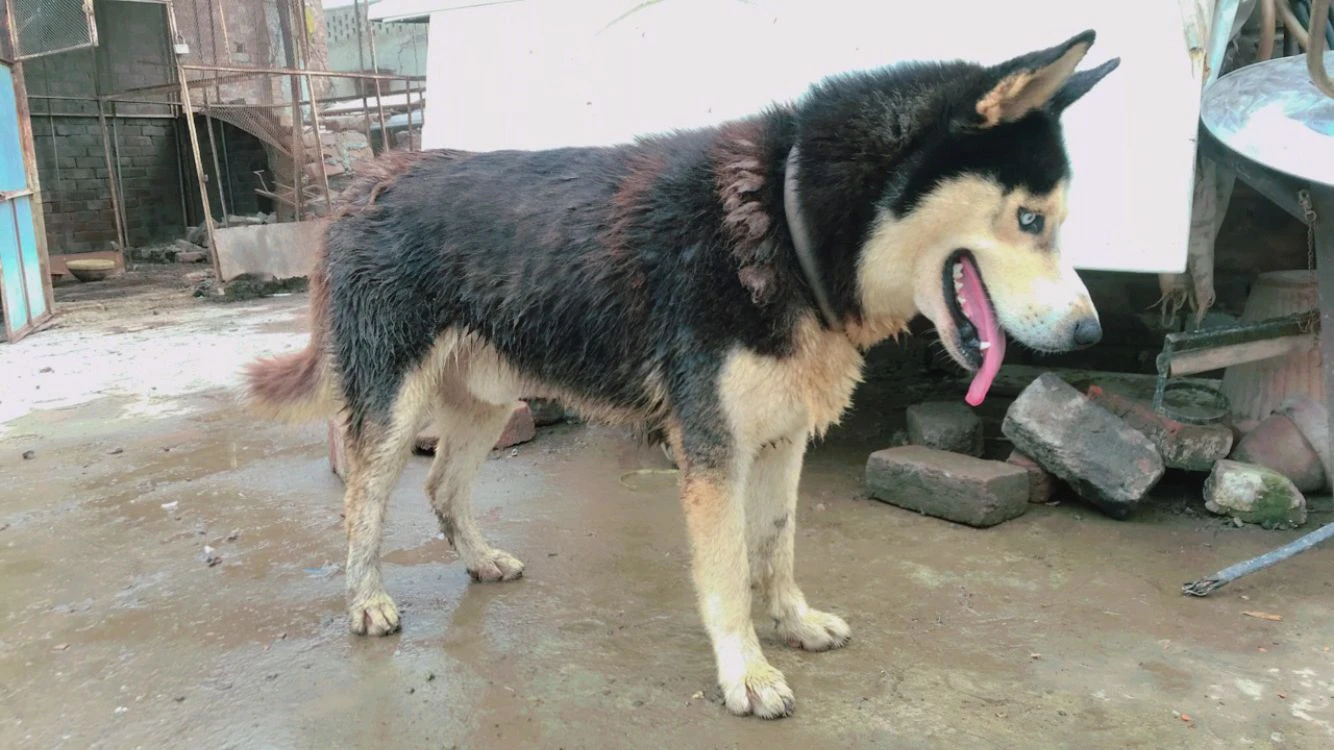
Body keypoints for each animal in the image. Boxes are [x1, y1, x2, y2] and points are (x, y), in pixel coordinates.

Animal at [245, 29, 1120, 720]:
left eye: (1055, 221)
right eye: (1031, 219)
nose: (1091, 331)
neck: (787, 220)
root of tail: (367, 181)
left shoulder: (782, 440)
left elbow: (777, 545)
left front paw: (792, 621)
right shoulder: (713, 450)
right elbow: (729, 570)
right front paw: (746, 672)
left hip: (489, 399)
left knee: (441, 486)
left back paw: (479, 558)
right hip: (393, 406)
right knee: (363, 500)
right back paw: (364, 599)